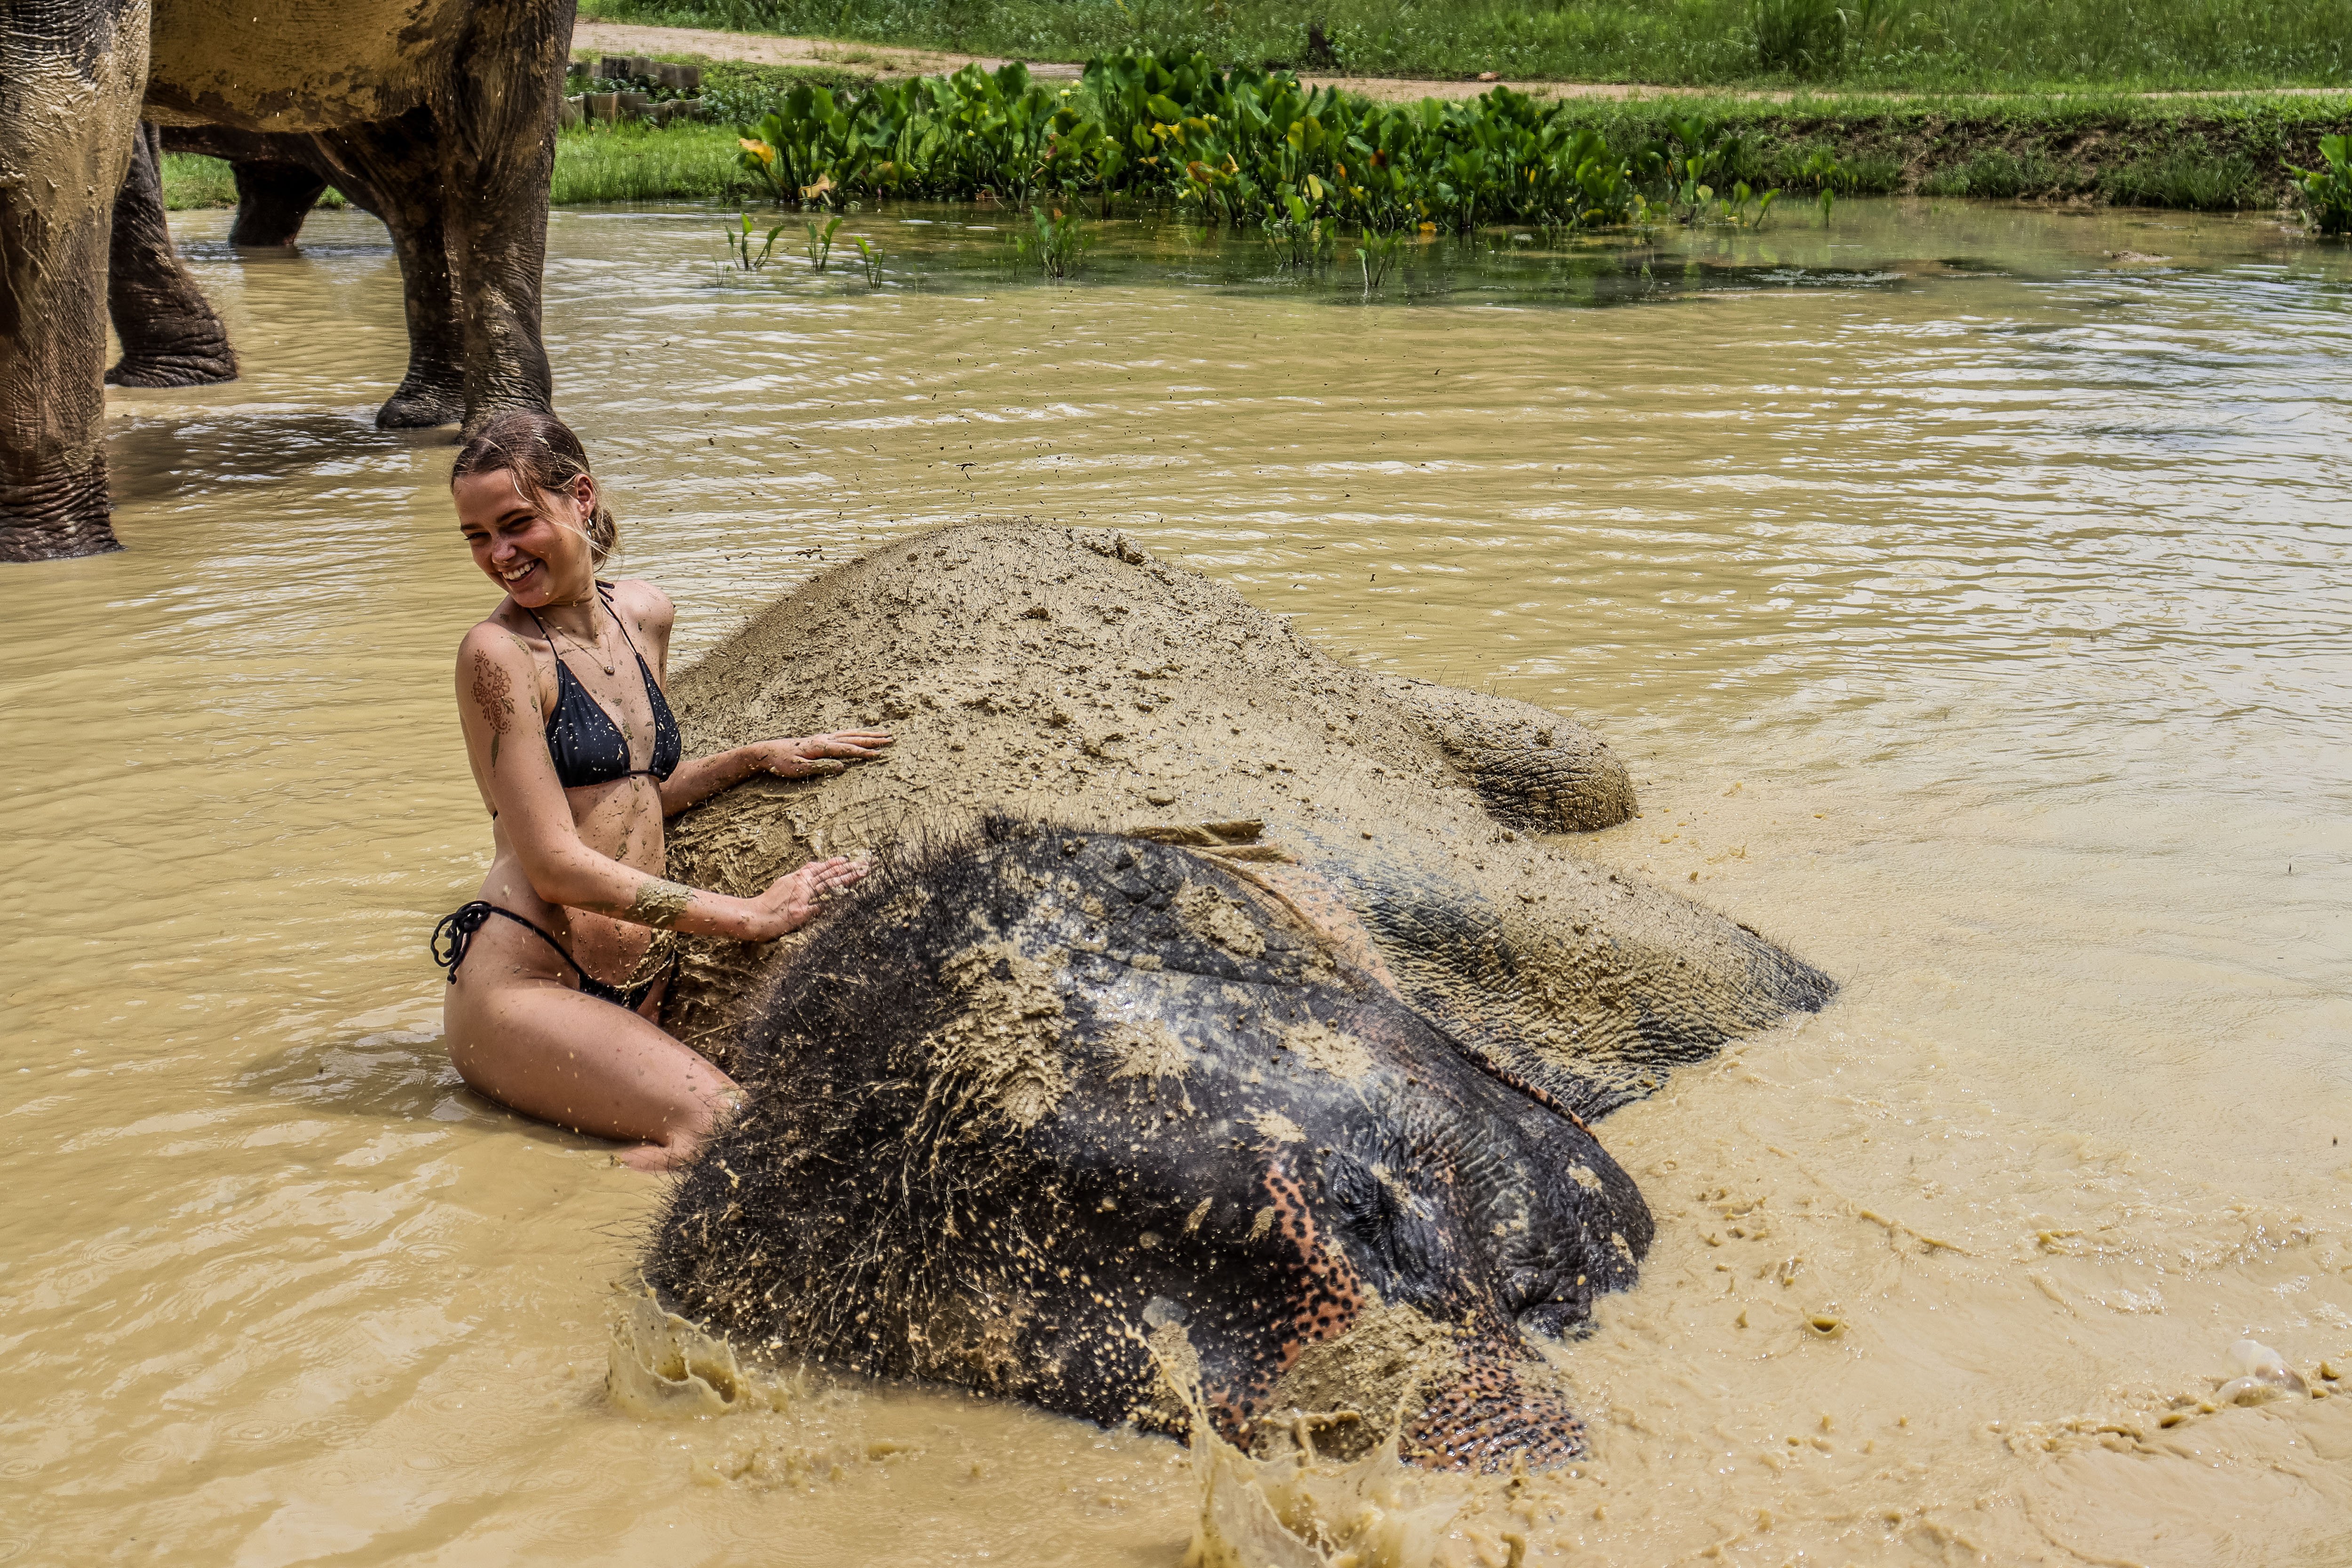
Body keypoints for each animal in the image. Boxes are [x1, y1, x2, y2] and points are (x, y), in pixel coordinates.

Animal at [1, 0, 571, 560]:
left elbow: (52, 123)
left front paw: (44, 554)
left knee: (492, 141)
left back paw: (500, 439)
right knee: (404, 168)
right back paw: (420, 416)